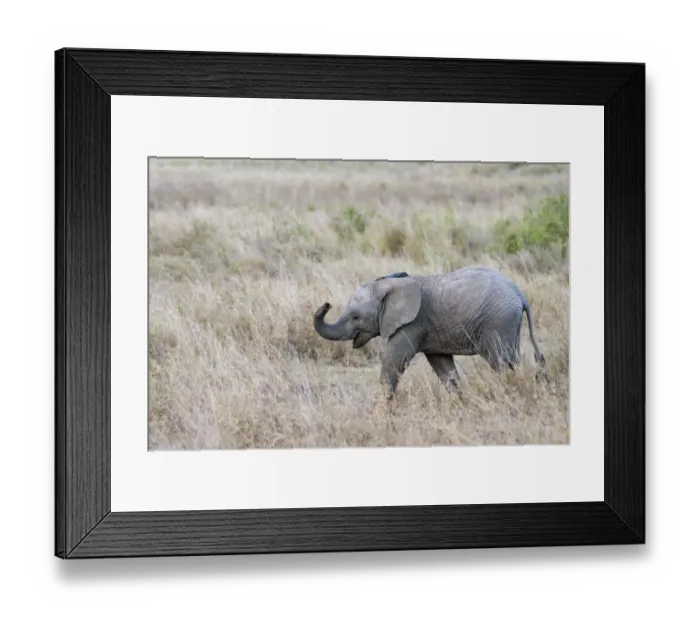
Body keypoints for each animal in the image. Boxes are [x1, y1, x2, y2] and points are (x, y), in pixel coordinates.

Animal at [313, 266, 546, 399]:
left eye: (355, 317)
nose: (326, 304)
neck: (391, 284)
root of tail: (519, 293)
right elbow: (443, 368)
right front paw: (459, 402)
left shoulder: (412, 323)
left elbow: (394, 362)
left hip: (498, 322)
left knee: (501, 363)